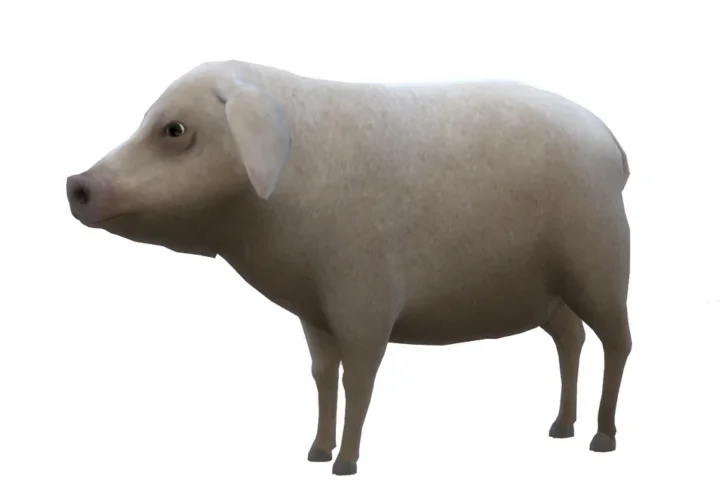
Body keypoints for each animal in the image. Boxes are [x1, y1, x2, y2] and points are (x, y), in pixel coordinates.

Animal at [66, 60, 632, 476]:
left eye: (175, 129)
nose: (77, 183)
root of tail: (612, 143)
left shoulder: (364, 299)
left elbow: (358, 380)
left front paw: (345, 464)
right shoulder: (313, 312)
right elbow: (322, 374)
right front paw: (315, 453)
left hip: (600, 262)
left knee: (618, 341)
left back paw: (601, 439)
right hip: (549, 291)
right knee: (571, 337)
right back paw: (560, 427)